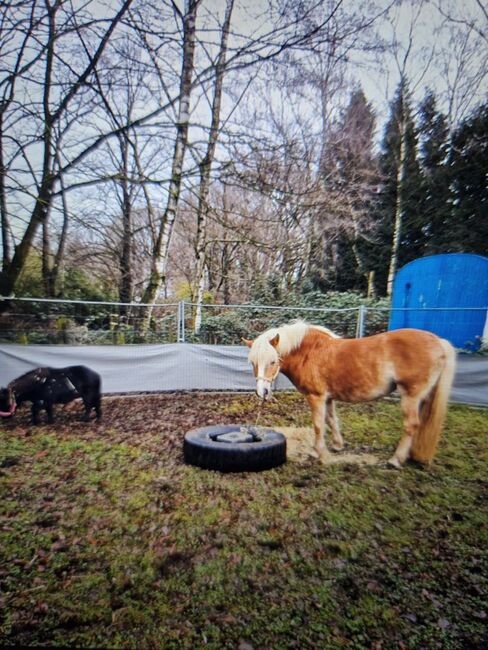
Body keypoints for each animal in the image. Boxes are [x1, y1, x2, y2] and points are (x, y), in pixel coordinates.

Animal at [244, 318, 458, 466]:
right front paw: (337, 445)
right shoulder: (328, 398)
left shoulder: (316, 397)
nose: (262, 391)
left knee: (411, 425)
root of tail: (439, 341)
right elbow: (331, 420)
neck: (309, 352)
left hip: (411, 397)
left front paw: (318, 453)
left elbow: (318, 425)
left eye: (273, 361)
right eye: (253, 362)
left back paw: (396, 459)